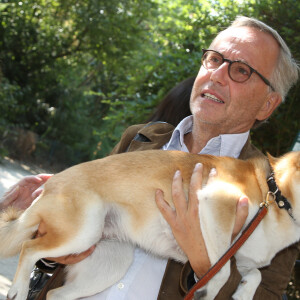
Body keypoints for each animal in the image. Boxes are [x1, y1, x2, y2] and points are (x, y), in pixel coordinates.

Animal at [0, 150, 300, 300]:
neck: (274, 194)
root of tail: (50, 185)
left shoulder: (244, 255)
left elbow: (255, 275)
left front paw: (244, 293)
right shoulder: (217, 204)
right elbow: (223, 270)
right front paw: (208, 291)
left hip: (109, 263)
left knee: (56, 294)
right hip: (83, 232)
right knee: (29, 248)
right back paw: (18, 290)